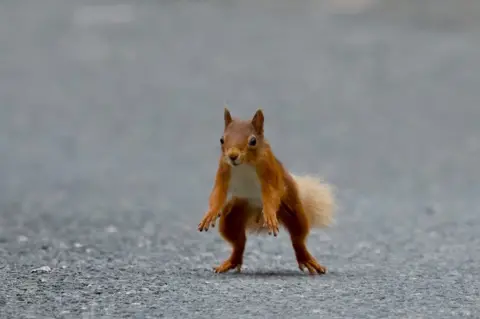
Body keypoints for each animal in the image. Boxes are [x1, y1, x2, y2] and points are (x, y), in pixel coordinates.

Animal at [197, 109, 336, 276]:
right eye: (221, 140)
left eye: (253, 141)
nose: (232, 156)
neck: (245, 164)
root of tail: (256, 212)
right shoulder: (223, 170)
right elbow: (218, 193)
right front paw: (210, 213)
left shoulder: (269, 171)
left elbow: (271, 194)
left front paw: (269, 214)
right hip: (234, 213)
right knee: (239, 242)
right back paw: (231, 262)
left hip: (291, 209)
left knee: (298, 238)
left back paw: (307, 259)